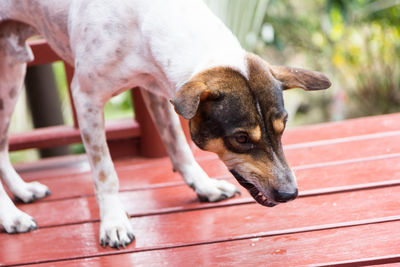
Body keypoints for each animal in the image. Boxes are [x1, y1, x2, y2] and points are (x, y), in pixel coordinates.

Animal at [0, 0, 332, 250]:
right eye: (240, 138)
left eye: (282, 127)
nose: (290, 194)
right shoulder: (85, 99)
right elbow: (105, 172)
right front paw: (114, 221)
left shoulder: (159, 91)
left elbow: (177, 145)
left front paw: (203, 185)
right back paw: (10, 216)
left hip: (12, 74)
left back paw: (22, 191)